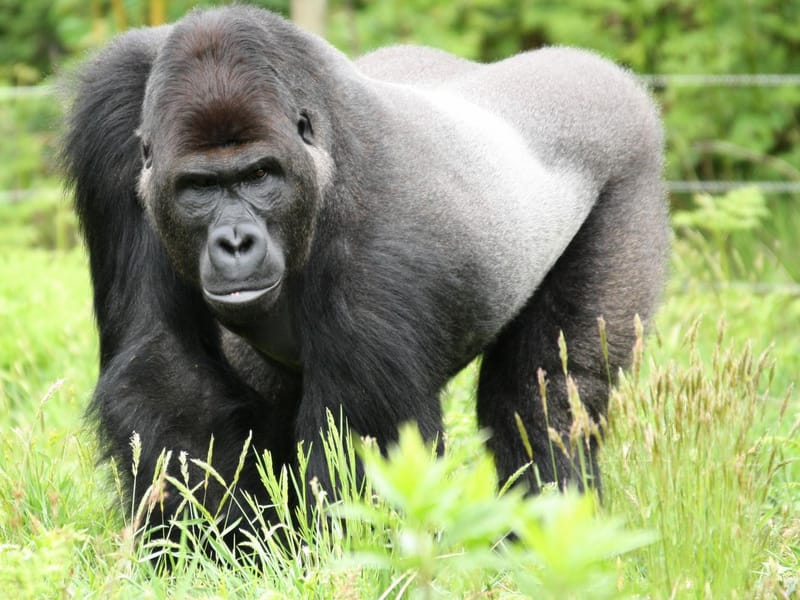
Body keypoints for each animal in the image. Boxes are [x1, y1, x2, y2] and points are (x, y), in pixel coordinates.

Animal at [59, 3, 664, 544]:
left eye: (259, 176)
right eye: (200, 188)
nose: (235, 242)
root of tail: (600, 70)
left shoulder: (378, 233)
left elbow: (359, 449)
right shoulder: (112, 119)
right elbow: (164, 366)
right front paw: (207, 544)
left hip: (629, 164)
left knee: (547, 398)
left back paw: (549, 534)